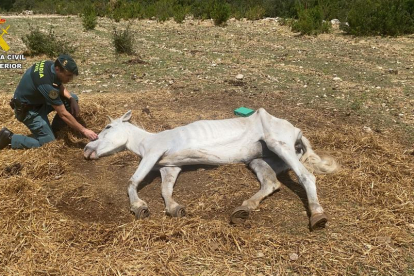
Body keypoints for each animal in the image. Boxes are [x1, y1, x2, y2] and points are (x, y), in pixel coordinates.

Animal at [84, 109, 340, 230]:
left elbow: (132, 180)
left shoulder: (153, 154)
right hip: (260, 160)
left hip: (279, 144)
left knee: (307, 175)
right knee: (271, 182)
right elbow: (166, 191)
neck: (147, 140)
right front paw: (175, 208)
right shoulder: (170, 167)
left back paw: (318, 216)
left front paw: (139, 207)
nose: (87, 149)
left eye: (108, 126)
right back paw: (243, 209)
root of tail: (297, 132)